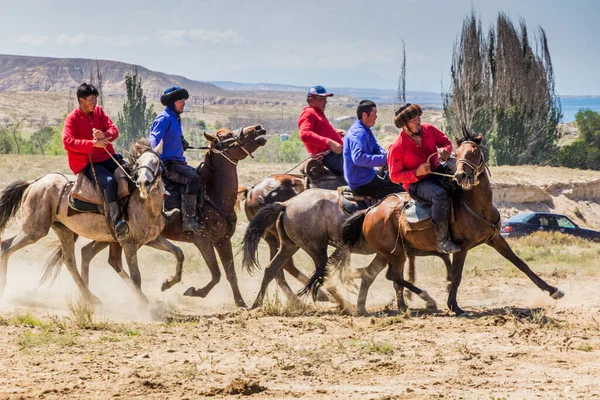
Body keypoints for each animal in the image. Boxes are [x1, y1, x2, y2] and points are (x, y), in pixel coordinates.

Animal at [76, 126, 268, 308]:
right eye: (226, 136)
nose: (258, 128)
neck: (211, 194)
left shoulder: (223, 240)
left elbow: (230, 274)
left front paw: (241, 303)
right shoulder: (203, 241)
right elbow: (216, 274)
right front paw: (194, 291)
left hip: (107, 236)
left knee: (88, 253)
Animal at [241, 185, 452, 316]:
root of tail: (286, 204)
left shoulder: (394, 252)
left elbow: (388, 277)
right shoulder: (407, 250)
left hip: (289, 246)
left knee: (272, 269)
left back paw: (257, 304)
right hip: (316, 247)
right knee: (323, 275)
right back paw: (344, 304)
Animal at [336, 132, 564, 316]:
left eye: (474, 151)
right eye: (458, 151)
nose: (460, 175)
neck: (475, 205)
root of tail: (371, 210)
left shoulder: (496, 239)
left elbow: (520, 263)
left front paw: (553, 290)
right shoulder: (461, 248)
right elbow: (456, 275)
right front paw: (454, 306)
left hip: (387, 253)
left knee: (372, 274)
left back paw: (368, 308)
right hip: (396, 253)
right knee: (392, 275)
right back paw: (426, 299)